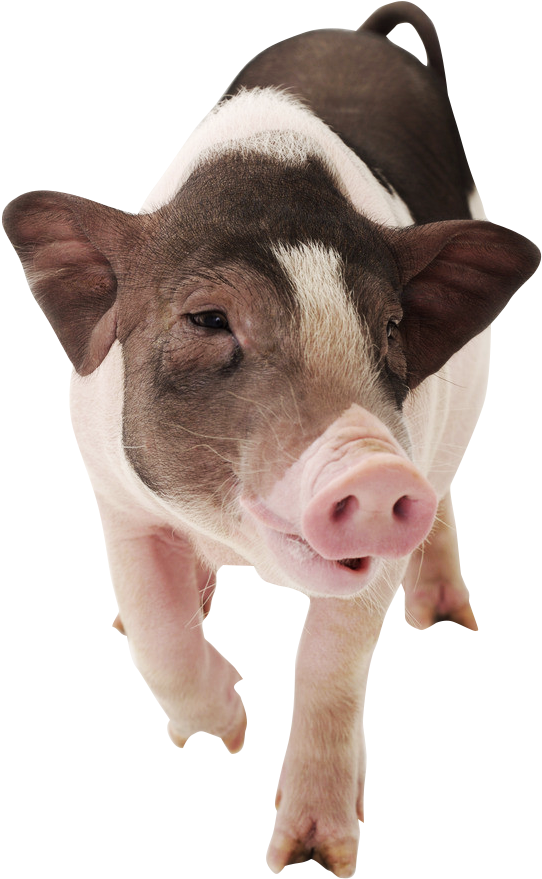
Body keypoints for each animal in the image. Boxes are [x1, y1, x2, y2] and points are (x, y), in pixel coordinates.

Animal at [3, 2, 539, 875]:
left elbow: (329, 654)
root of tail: (364, 33)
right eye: (207, 318)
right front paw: (221, 733)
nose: (376, 467)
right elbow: (153, 625)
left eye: (390, 330)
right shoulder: (111, 485)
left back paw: (447, 619)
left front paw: (313, 857)